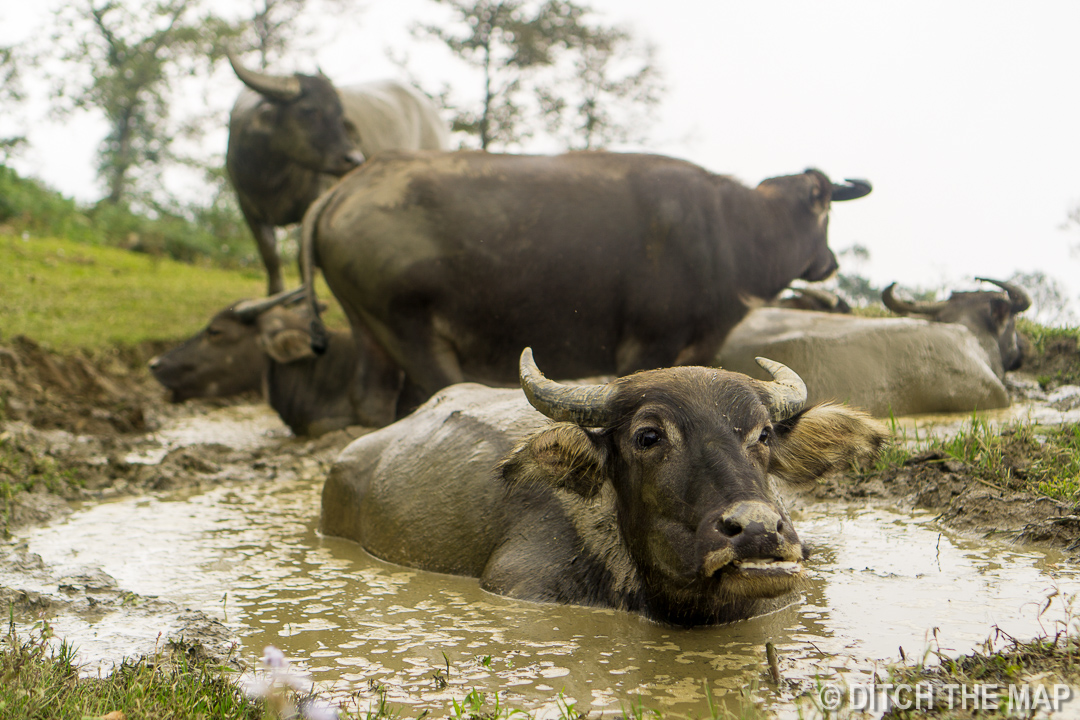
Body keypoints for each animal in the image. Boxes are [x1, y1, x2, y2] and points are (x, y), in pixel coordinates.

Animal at [225, 52, 449, 295]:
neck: (270, 176)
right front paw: (275, 294)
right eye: (309, 110)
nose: (354, 158)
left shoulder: (313, 202)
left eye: (340, 115)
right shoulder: (247, 207)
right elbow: (270, 256)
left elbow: (303, 259)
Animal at [300, 148, 872, 425]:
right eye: (824, 209)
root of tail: (345, 189)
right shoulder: (648, 343)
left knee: (369, 399)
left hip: (370, 327)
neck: (734, 230)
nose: (828, 262)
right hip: (411, 326)